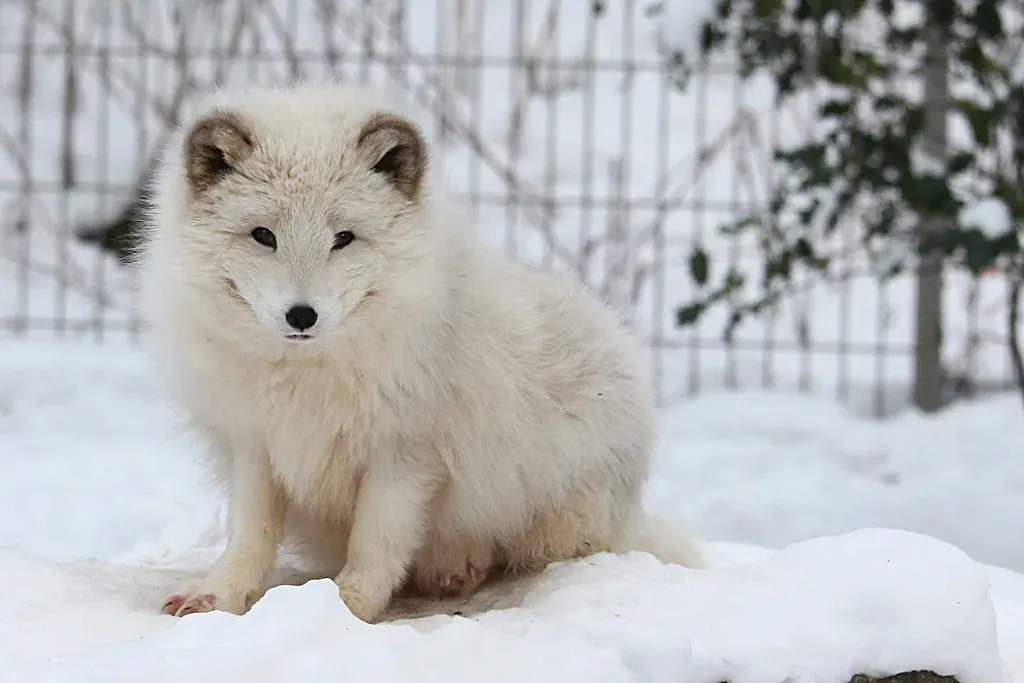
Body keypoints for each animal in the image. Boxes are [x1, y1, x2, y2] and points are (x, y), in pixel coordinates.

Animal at [136, 82, 704, 624]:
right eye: (262, 235)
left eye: (343, 238)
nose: (302, 315)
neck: (308, 378)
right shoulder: (256, 445)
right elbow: (249, 535)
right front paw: (219, 594)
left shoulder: (405, 456)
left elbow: (376, 544)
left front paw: (346, 609)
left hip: (560, 515)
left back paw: (461, 565)